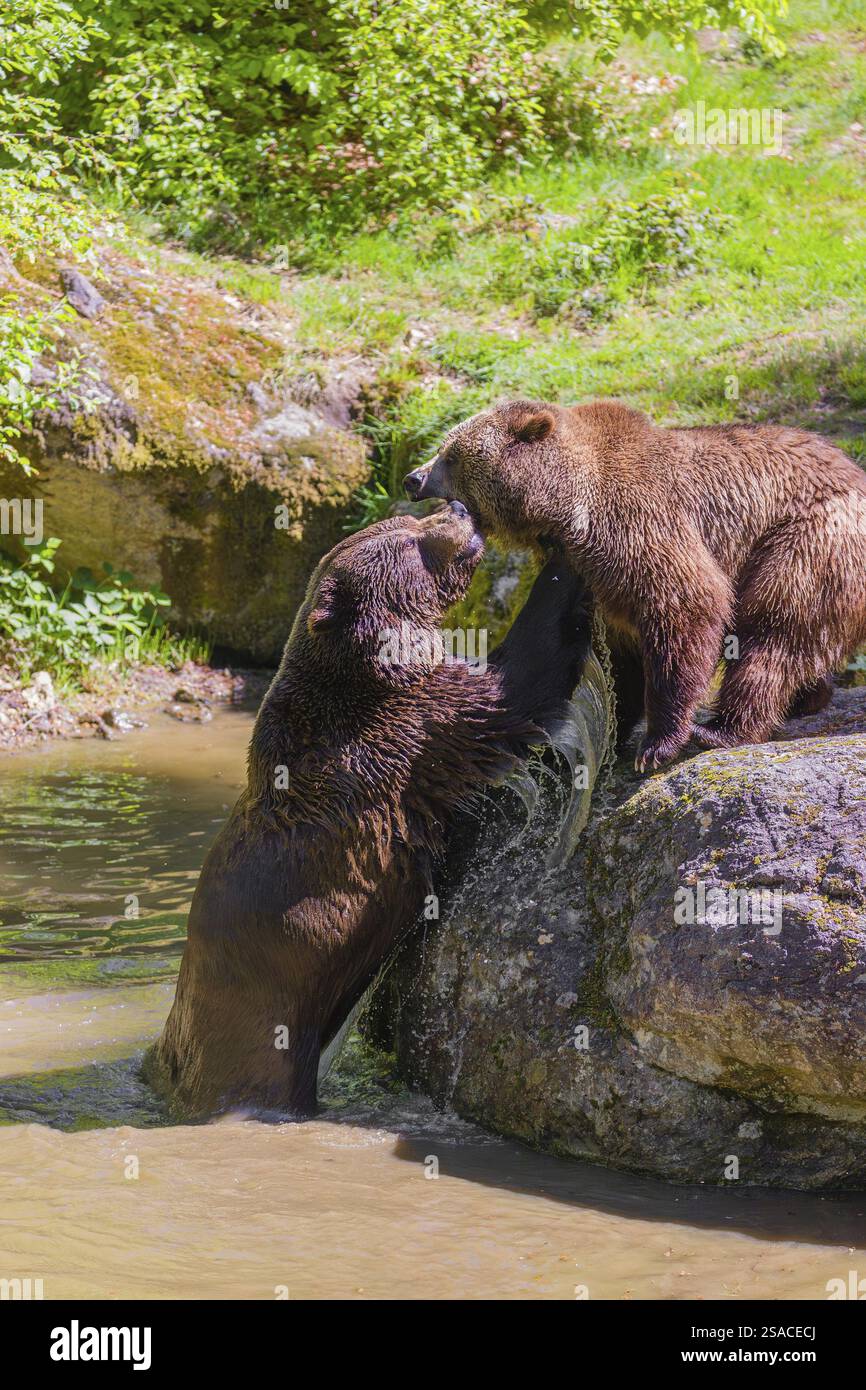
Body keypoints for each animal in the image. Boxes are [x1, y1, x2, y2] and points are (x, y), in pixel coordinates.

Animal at [149, 501, 591, 1118]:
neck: (362, 676)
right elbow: (513, 687)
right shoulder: (410, 731)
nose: (457, 509)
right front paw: (566, 552)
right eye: (406, 540)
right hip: (257, 1040)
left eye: (407, 518)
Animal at [404, 399, 866, 772]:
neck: (568, 509)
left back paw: (723, 728)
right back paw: (807, 698)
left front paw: (657, 744)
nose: (413, 478)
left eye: (451, 454)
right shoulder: (593, 575)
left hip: (808, 539)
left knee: (773, 634)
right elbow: (616, 656)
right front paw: (612, 731)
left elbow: (688, 605)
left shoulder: (638, 518)